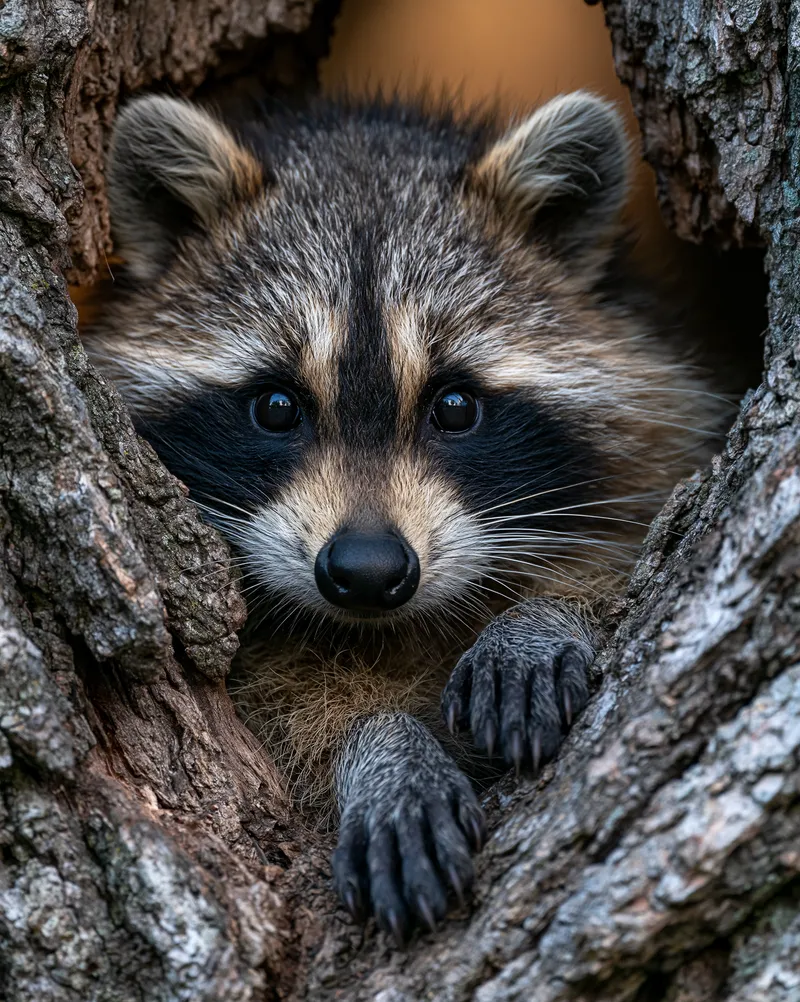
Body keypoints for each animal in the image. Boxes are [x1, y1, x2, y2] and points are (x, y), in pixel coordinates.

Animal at [84, 91, 726, 945]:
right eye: (276, 406)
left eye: (454, 406)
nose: (366, 571)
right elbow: (287, 718)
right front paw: (380, 746)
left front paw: (546, 613)